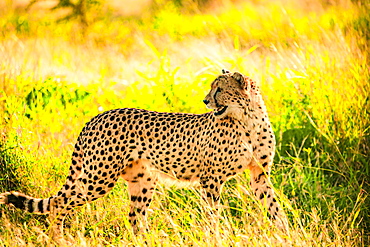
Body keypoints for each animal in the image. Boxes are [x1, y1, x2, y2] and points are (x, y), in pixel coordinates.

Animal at [0, 70, 290, 240]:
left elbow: (274, 207)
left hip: (142, 180)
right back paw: (57, 238)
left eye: (219, 89)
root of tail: (97, 115)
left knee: (135, 217)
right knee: (60, 203)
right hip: (98, 179)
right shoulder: (211, 179)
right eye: (212, 88)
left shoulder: (259, 175)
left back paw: (148, 240)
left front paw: (284, 232)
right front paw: (216, 237)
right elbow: (213, 214)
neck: (248, 119)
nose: (206, 100)